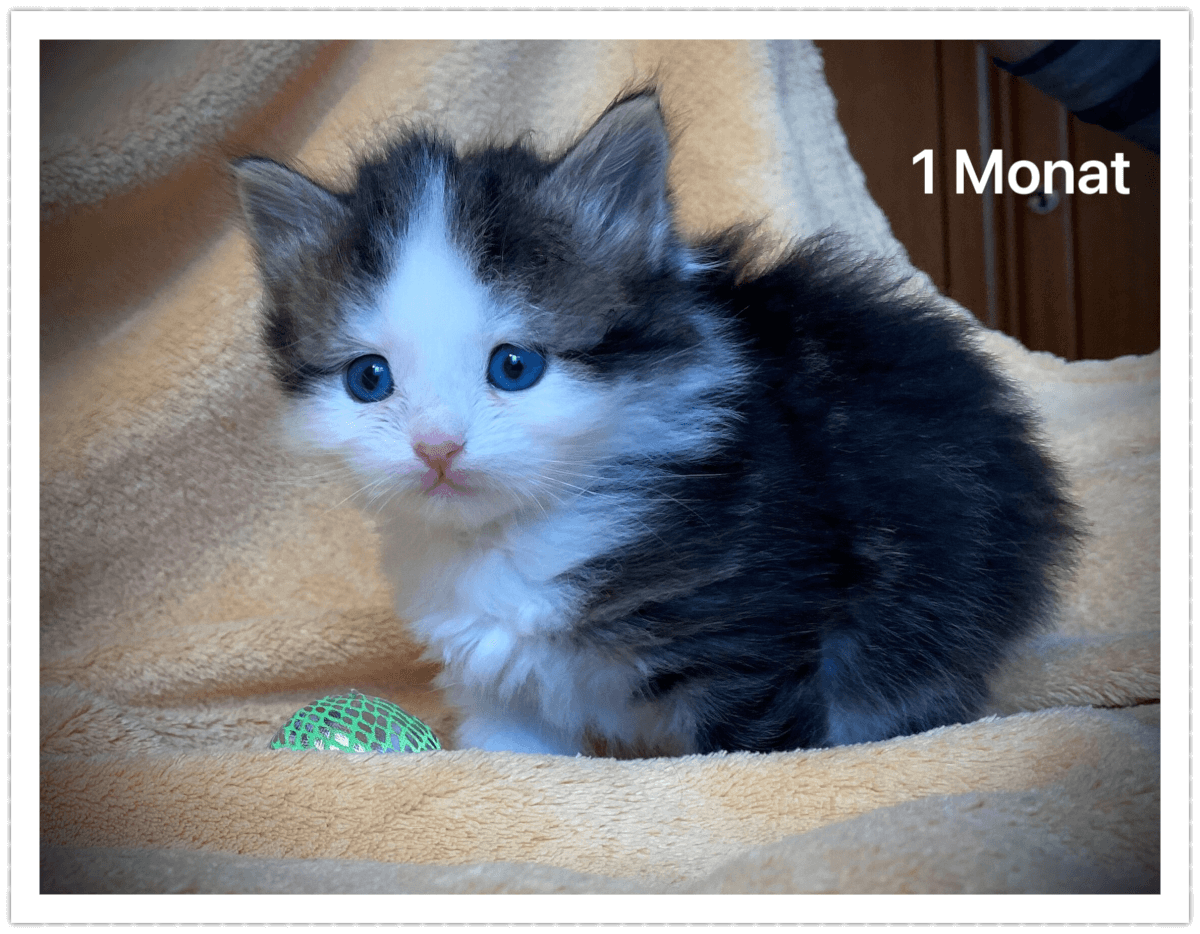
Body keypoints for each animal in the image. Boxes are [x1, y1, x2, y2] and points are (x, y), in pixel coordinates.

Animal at [233, 90, 1080, 756]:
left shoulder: (754, 637)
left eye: (515, 366)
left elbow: (754, 755)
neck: (517, 536)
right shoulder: (494, 675)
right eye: (369, 380)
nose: (436, 448)